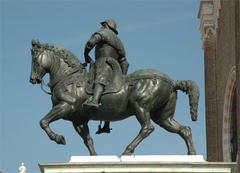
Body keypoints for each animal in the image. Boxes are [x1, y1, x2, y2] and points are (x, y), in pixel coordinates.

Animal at [29, 40, 199, 155]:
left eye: (34, 59)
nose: (32, 79)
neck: (69, 78)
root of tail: (172, 82)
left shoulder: (65, 106)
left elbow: (43, 122)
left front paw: (58, 138)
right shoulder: (78, 120)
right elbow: (88, 140)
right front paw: (94, 158)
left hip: (140, 107)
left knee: (147, 128)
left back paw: (126, 152)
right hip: (162, 116)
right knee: (184, 130)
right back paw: (191, 155)